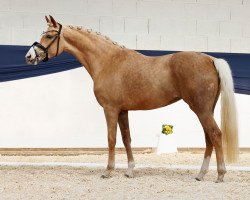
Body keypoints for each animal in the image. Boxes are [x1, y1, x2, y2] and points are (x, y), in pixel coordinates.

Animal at [25, 14, 238, 182]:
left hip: (201, 109)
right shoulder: (123, 111)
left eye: (49, 35)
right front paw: (130, 171)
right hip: (206, 109)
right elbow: (126, 138)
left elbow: (111, 139)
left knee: (215, 135)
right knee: (209, 137)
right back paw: (201, 174)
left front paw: (108, 171)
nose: (29, 56)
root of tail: (210, 59)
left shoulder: (110, 109)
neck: (107, 61)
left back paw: (220, 174)